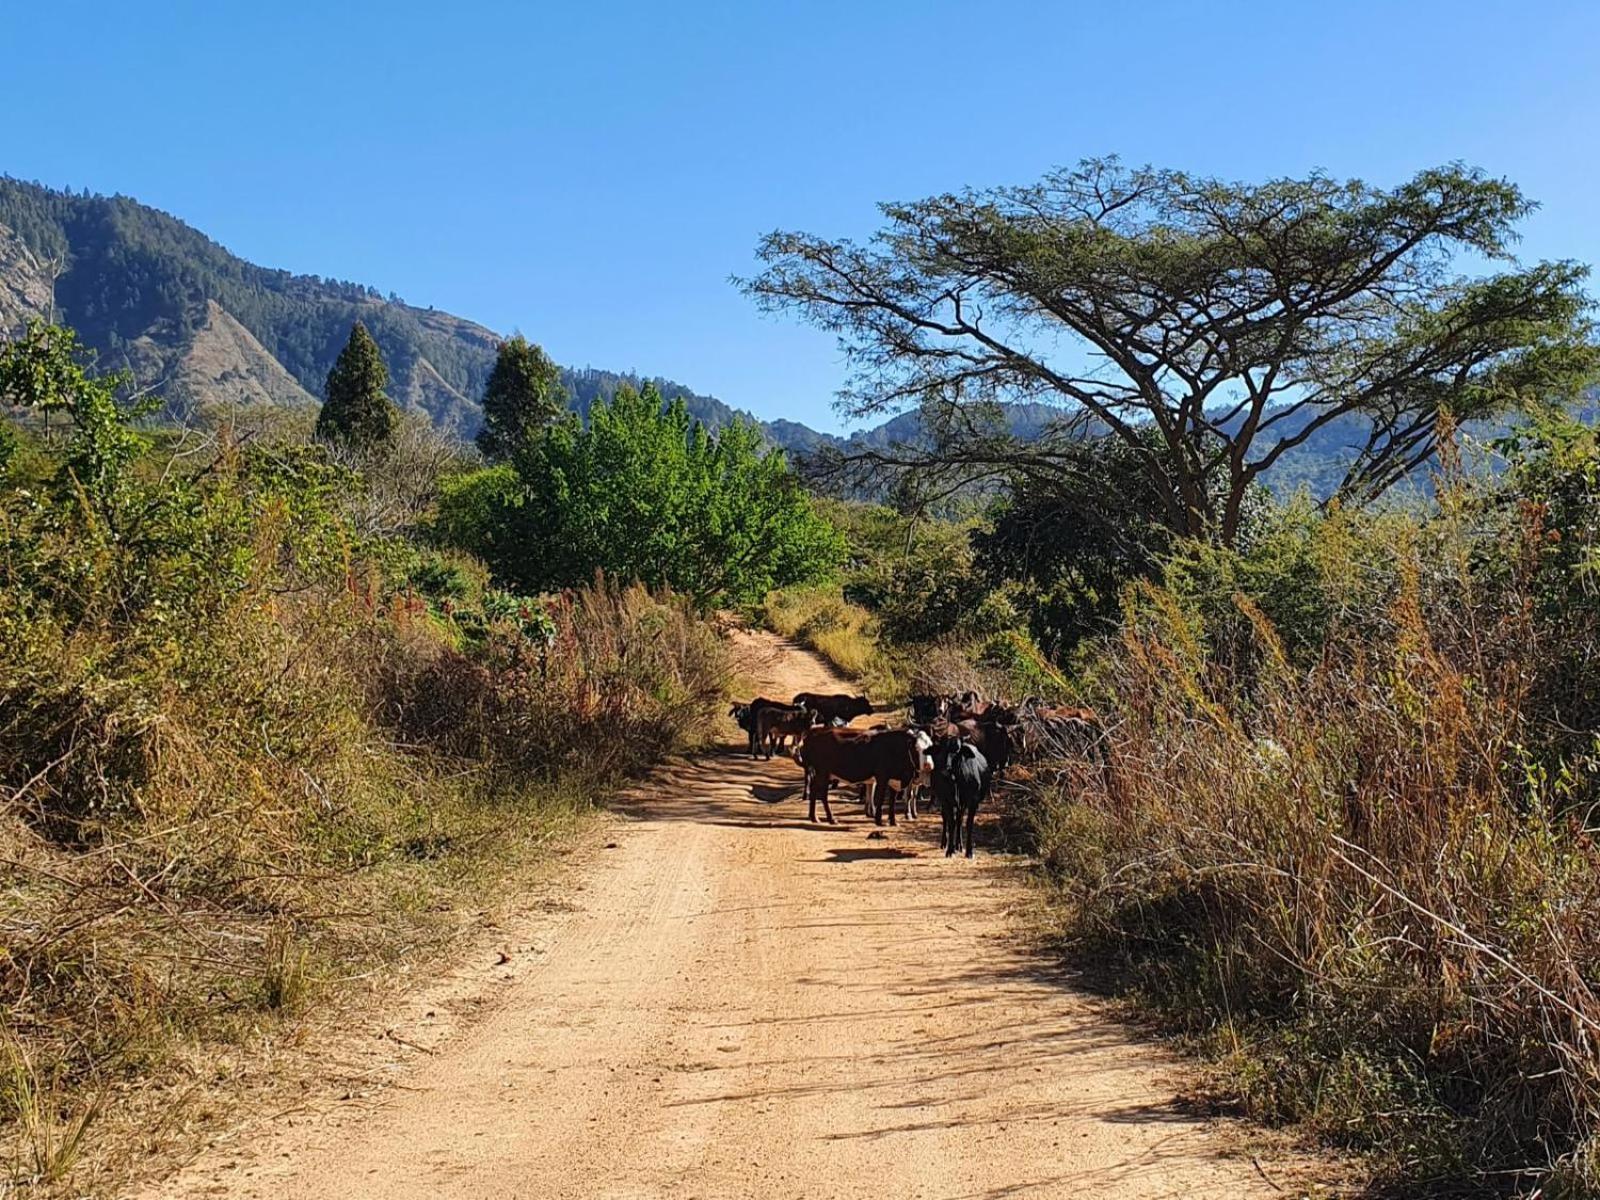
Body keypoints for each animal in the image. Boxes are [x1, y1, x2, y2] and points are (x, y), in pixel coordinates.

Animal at [793, 723, 921, 825]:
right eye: (916, 749)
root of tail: (812, 733)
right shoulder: (882, 777)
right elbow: (880, 797)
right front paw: (879, 820)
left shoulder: (894, 779)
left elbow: (892, 800)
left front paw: (892, 821)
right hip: (823, 772)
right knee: (821, 793)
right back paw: (829, 818)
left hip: (823, 773)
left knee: (816, 791)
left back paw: (815, 817)